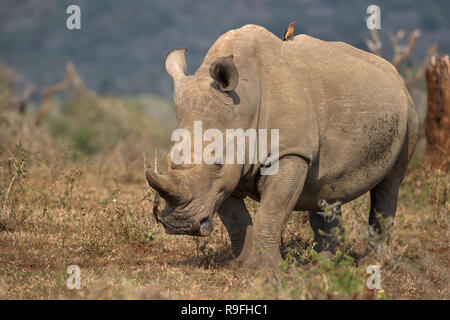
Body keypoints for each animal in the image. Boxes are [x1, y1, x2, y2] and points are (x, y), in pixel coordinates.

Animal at [147, 24, 418, 268]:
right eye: (169, 160)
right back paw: (323, 264)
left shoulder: (290, 152)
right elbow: (236, 219)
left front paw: (264, 270)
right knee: (326, 191)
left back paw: (374, 264)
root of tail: (395, 74)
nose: (179, 225)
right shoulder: (225, 177)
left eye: (217, 163)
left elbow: (272, 210)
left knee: (390, 185)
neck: (242, 104)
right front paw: (240, 264)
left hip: (408, 111)